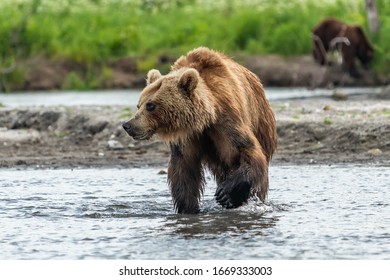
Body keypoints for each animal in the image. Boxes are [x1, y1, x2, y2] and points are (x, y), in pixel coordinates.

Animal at [122, 47, 278, 214]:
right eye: (139, 104)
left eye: (151, 105)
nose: (128, 125)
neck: (204, 119)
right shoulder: (186, 136)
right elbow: (183, 170)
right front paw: (187, 208)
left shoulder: (227, 120)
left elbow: (248, 150)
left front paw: (226, 194)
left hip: (262, 125)